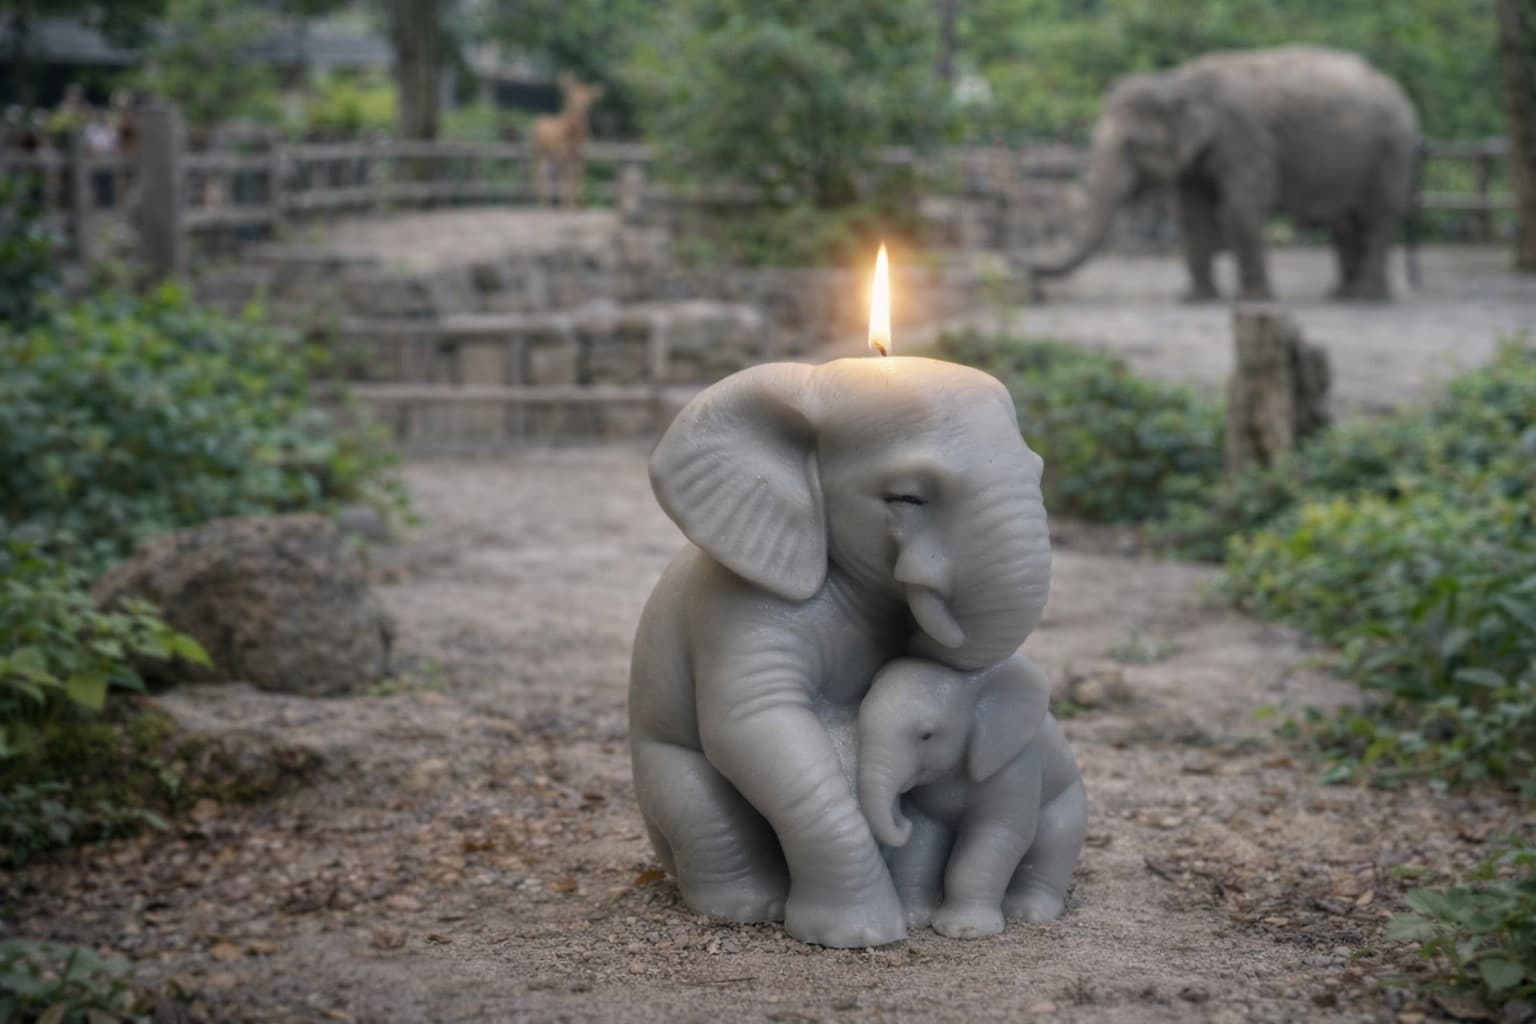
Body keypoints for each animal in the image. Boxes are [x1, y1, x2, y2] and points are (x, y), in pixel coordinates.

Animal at [628, 357, 1053, 948]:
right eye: (905, 498)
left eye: (1039, 474)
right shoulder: (738, 604)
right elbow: (756, 727)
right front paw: (861, 935)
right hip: (662, 780)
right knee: (700, 808)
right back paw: (744, 907)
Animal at [857, 656, 1086, 939]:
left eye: (927, 735)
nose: (900, 819)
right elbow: (922, 840)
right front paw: (913, 920)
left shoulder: (1016, 767)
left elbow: (996, 836)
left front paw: (965, 930)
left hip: (1068, 807)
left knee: (1052, 846)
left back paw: (1028, 912)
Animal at [1029, 46, 1421, 302]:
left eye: (1131, 144)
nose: (1031, 277)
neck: (1180, 81)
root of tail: (1401, 94)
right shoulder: (1196, 160)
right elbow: (1191, 213)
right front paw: (1195, 299)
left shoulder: (1246, 138)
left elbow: (1241, 208)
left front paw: (1253, 300)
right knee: (1346, 221)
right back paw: (1341, 294)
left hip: (1392, 150)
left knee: (1376, 218)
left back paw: (1366, 297)